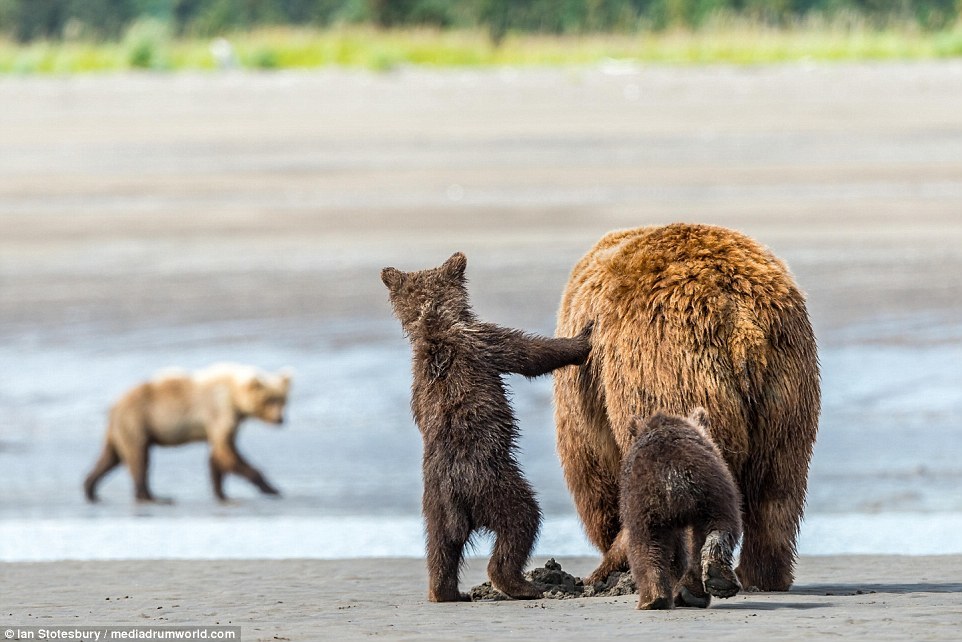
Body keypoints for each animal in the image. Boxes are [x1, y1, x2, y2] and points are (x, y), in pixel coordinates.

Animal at [81, 362, 292, 502]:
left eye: (283, 399)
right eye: (269, 400)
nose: (280, 419)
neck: (234, 396)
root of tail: (114, 406)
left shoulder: (229, 421)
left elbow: (218, 455)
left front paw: (220, 492)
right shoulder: (219, 411)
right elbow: (228, 454)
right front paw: (271, 488)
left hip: (120, 430)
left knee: (110, 458)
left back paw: (90, 488)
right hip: (137, 421)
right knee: (139, 458)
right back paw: (153, 496)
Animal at [556, 222, 816, 588]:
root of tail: (742, 321)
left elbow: (592, 471)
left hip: (668, 366)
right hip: (787, 384)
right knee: (778, 486)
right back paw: (759, 574)